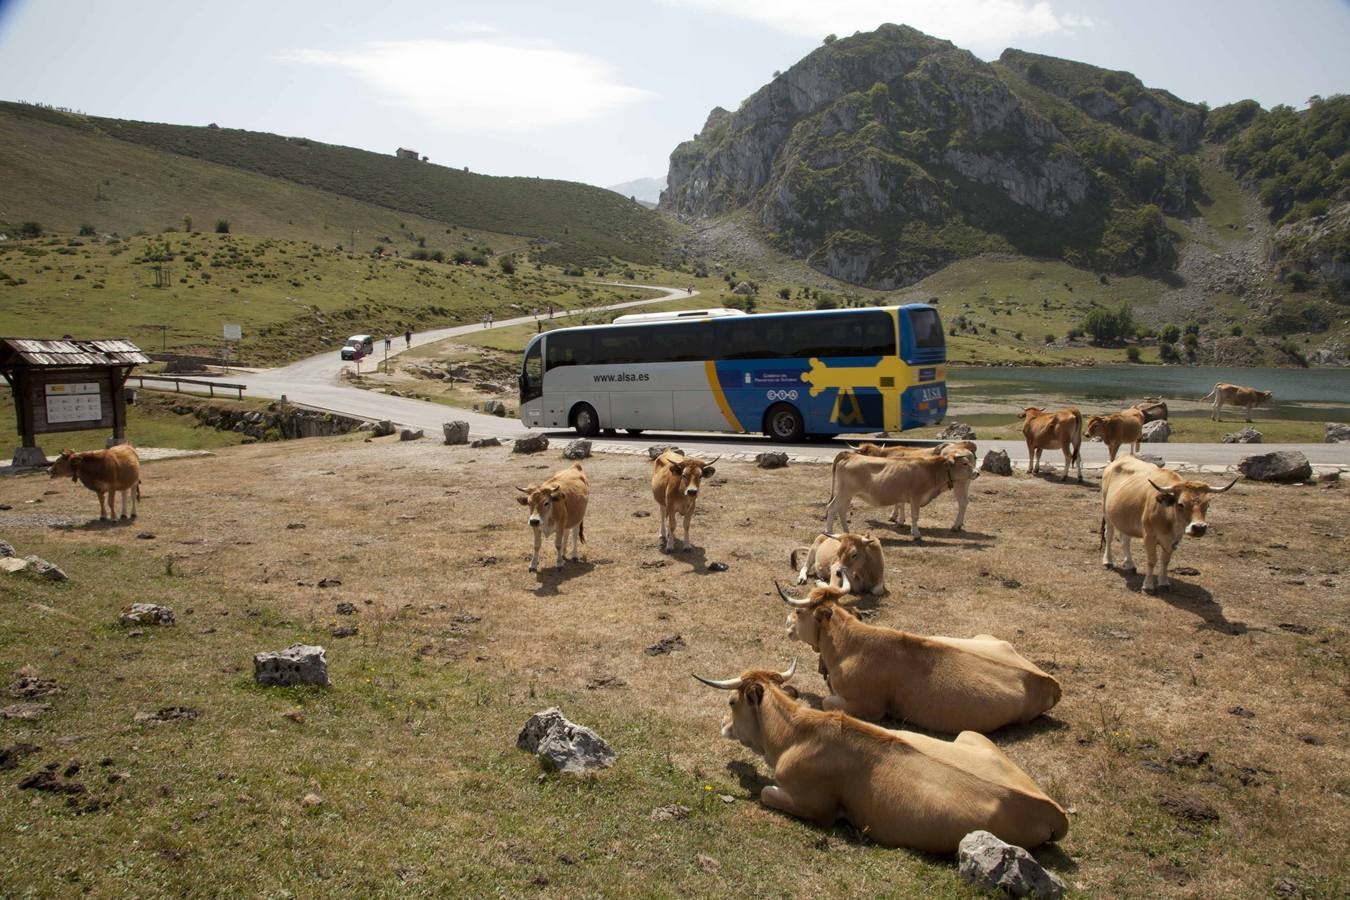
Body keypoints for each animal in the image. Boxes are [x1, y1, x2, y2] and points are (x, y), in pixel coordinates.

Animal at [696, 661, 1063, 852]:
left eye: (731, 702)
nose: (723, 725)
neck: (797, 734)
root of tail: (1052, 809)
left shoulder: (813, 806)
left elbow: (765, 791)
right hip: (971, 736)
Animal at [777, 580, 1058, 734]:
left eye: (799, 612)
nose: (787, 623)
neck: (848, 644)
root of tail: (1048, 681)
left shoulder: (867, 708)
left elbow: (827, 703)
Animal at [820, 445, 982, 539]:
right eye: (964, 463)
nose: (977, 472)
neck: (929, 470)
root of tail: (850, 455)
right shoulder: (915, 496)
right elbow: (915, 516)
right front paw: (916, 534)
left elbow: (903, 507)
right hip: (844, 492)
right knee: (832, 508)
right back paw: (830, 533)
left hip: (847, 494)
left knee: (841, 510)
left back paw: (846, 532)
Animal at [1101, 458, 1236, 591]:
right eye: (1181, 504)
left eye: (1207, 505)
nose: (1199, 528)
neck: (1168, 518)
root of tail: (1120, 459)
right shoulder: (1149, 536)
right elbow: (1152, 560)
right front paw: (1148, 585)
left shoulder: (1174, 539)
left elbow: (1165, 560)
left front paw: (1164, 582)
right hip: (1107, 513)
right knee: (1109, 536)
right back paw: (1108, 561)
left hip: (1124, 519)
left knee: (1125, 539)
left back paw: (1129, 564)